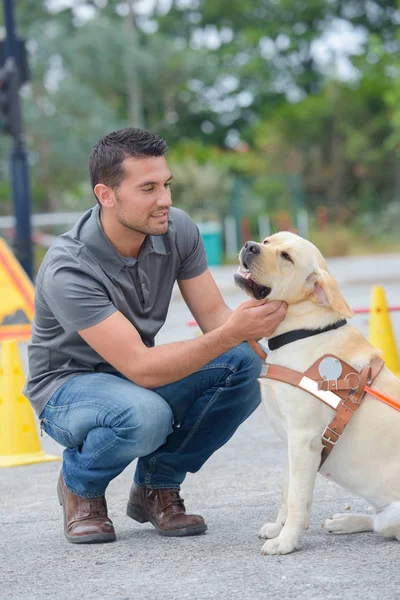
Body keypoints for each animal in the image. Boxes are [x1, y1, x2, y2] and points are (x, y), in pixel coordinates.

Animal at [234, 232, 400, 556]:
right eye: (268, 240)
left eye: (286, 257)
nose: (250, 246)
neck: (302, 330)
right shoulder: (291, 441)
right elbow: (288, 491)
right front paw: (279, 528)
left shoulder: (302, 438)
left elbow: (297, 498)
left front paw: (286, 541)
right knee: (377, 521)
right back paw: (345, 521)